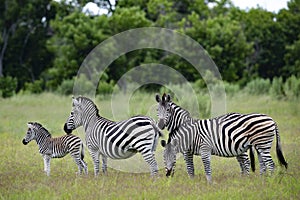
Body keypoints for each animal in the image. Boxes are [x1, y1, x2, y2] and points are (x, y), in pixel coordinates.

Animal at [156, 93, 288, 182]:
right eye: (157, 110)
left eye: (168, 109)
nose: (160, 125)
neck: (183, 125)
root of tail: (271, 119)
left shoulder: (187, 151)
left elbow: (190, 168)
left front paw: (192, 182)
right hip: (257, 146)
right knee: (261, 164)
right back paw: (260, 180)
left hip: (260, 145)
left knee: (263, 163)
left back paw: (266, 181)